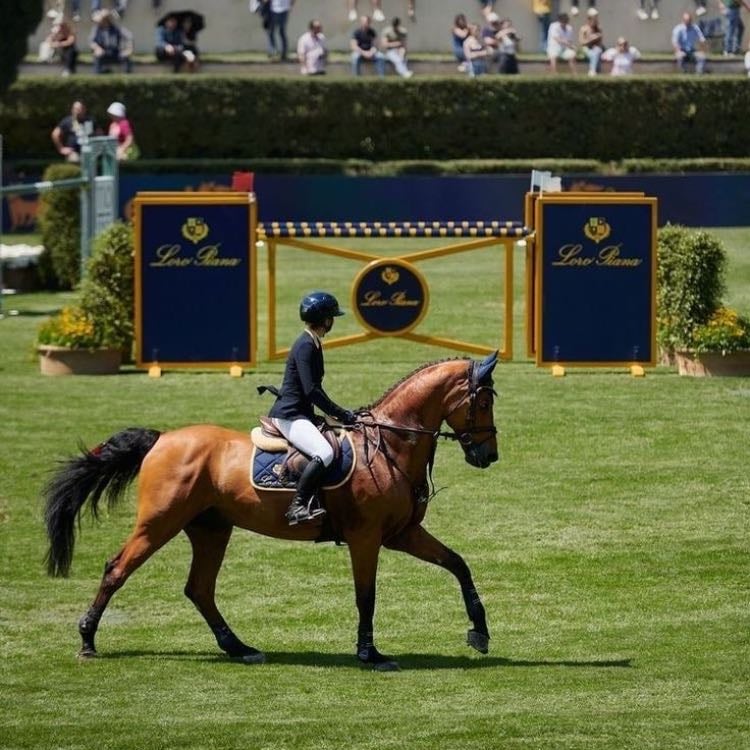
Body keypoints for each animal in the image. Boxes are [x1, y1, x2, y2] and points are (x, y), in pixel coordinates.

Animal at [44, 353, 500, 671]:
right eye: (482, 403)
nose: (488, 456)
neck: (389, 445)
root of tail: (162, 439)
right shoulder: (366, 537)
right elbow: (366, 596)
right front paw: (370, 654)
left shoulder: (402, 534)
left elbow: (458, 564)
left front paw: (479, 632)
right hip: (159, 523)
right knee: (117, 569)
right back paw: (87, 641)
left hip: (210, 529)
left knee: (199, 588)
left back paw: (239, 648)